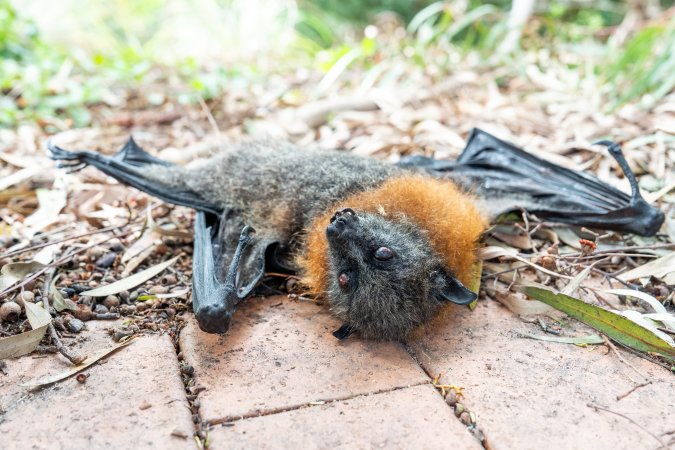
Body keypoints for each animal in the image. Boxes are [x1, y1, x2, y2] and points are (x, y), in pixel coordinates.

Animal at [48, 129, 663, 340]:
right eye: (383, 252)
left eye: (354, 274)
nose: (338, 223)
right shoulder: (474, 189)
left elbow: (215, 309)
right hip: (217, 184)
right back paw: (87, 154)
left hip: (216, 194)